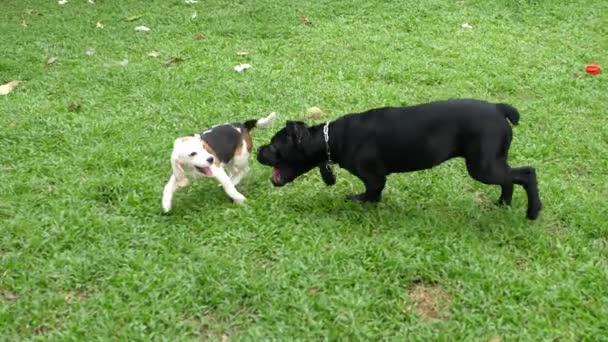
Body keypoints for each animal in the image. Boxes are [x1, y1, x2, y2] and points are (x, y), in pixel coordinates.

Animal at [258, 99, 544, 219]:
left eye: (274, 146)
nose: (259, 150)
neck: (330, 139)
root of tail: (498, 109)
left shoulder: (374, 178)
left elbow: (371, 193)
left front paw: (357, 201)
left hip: (482, 167)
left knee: (527, 174)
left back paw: (532, 212)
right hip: (491, 163)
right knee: (509, 180)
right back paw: (503, 204)